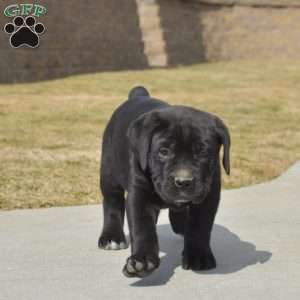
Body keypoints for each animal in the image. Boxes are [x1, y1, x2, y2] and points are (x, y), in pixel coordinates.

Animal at [98, 85, 230, 278]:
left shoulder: (208, 194)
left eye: (203, 152)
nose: (183, 181)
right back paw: (111, 237)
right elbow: (142, 228)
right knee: (112, 202)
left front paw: (198, 255)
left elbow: (200, 226)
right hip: (109, 170)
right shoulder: (139, 195)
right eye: (163, 151)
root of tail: (138, 95)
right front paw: (143, 260)